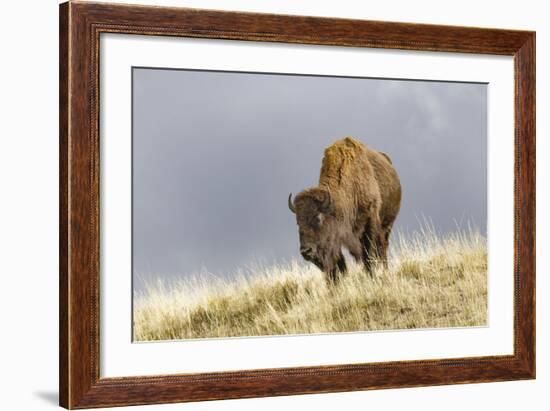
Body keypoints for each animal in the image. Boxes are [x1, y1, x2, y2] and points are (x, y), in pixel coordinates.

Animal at [288, 138, 402, 284]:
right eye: (298, 222)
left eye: (318, 218)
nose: (306, 251)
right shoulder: (337, 237)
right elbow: (339, 263)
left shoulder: (370, 221)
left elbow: (370, 253)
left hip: (387, 225)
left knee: (382, 248)